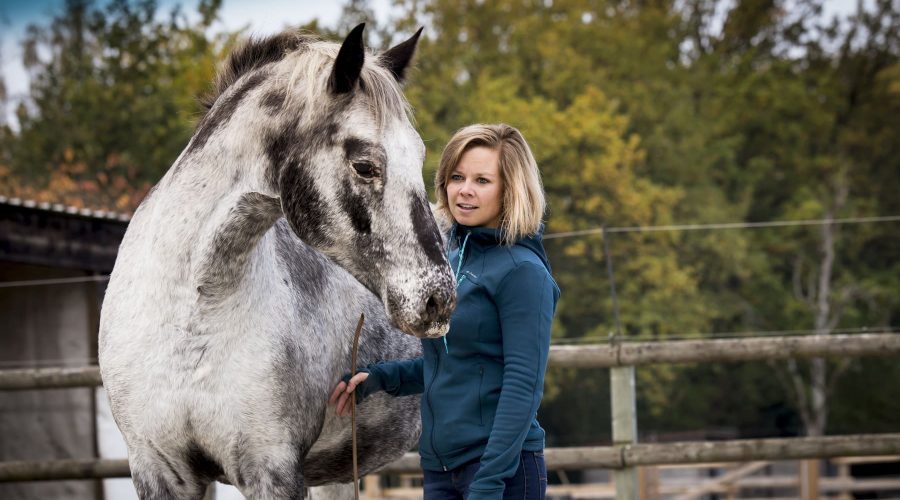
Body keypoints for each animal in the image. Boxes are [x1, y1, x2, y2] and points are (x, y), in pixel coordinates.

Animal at [96, 25, 458, 498]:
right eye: (364, 165)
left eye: (418, 157)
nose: (437, 298)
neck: (190, 317)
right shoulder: (158, 471)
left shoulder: (273, 468)